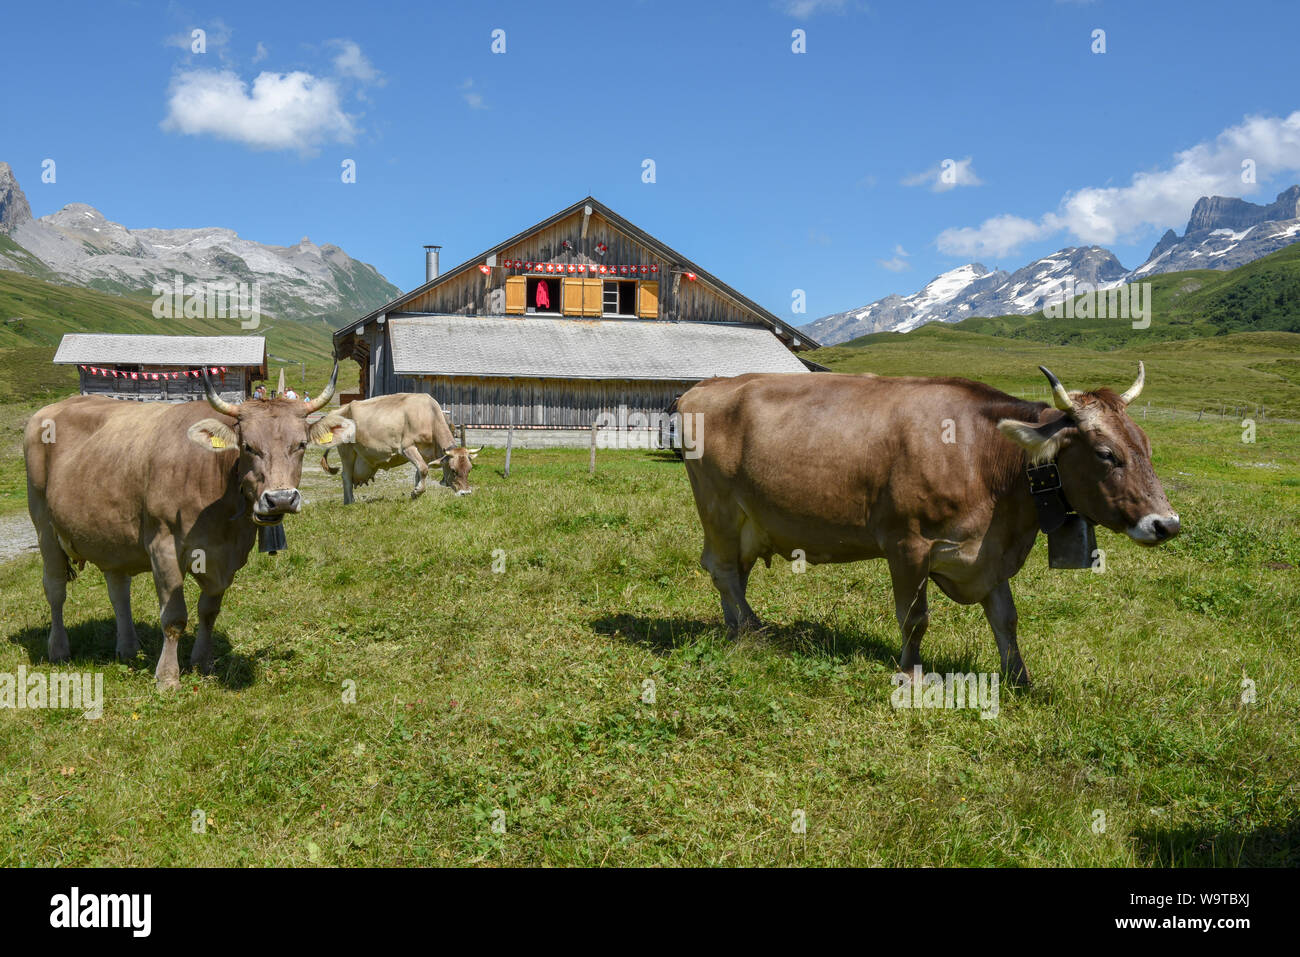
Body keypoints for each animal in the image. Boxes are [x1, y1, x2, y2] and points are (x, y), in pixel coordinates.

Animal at [24, 365, 355, 690]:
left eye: (301, 444)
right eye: (248, 446)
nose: (281, 499)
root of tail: (50, 409)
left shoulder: (227, 557)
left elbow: (208, 612)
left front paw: (202, 663)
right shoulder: (163, 546)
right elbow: (174, 617)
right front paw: (168, 677)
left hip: (111, 535)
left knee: (118, 591)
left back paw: (128, 648)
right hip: (43, 524)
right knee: (54, 589)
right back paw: (59, 650)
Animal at [318, 392, 481, 502]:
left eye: (469, 469)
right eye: (453, 470)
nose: (465, 493)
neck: (428, 416)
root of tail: (336, 411)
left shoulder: (425, 454)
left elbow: (419, 472)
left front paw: (416, 494)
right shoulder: (407, 447)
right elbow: (423, 469)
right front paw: (417, 492)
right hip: (346, 451)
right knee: (345, 476)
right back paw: (350, 503)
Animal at [677, 364, 1180, 685]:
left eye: (1147, 446)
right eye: (1106, 454)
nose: (1167, 524)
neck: (985, 458)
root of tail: (704, 387)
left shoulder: (988, 556)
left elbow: (1006, 619)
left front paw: (1019, 678)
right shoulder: (908, 544)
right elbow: (915, 618)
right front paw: (910, 673)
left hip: (748, 520)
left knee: (733, 573)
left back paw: (736, 628)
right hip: (718, 507)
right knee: (722, 569)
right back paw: (751, 631)